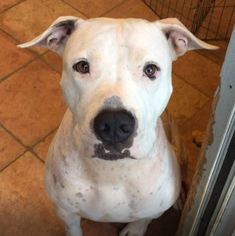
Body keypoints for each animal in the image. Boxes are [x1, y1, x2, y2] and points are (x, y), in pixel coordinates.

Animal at [18, 15, 217, 235]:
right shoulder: (65, 212)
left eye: (150, 69)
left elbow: (141, 222)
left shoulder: (151, 212)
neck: (112, 172)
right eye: (82, 66)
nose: (114, 124)